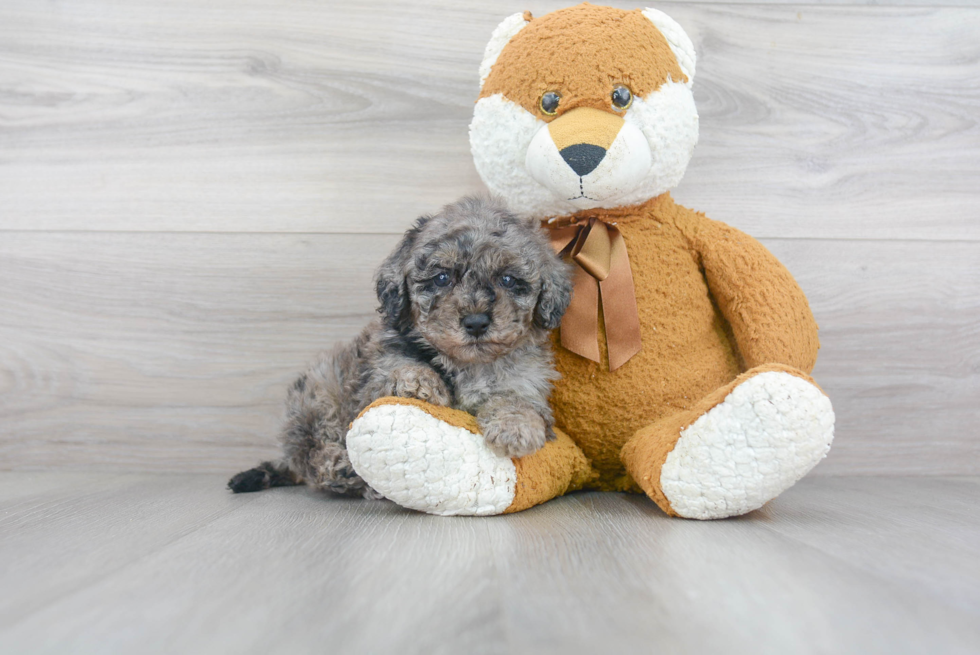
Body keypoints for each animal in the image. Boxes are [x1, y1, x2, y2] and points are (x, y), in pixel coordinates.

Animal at [228, 197, 576, 500]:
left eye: (507, 279)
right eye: (441, 277)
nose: (476, 322)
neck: (468, 364)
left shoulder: (527, 384)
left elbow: (519, 402)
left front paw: (515, 427)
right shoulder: (378, 367)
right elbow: (401, 365)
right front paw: (421, 383)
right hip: (316, 393)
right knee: (313, 454)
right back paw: (343, 469)